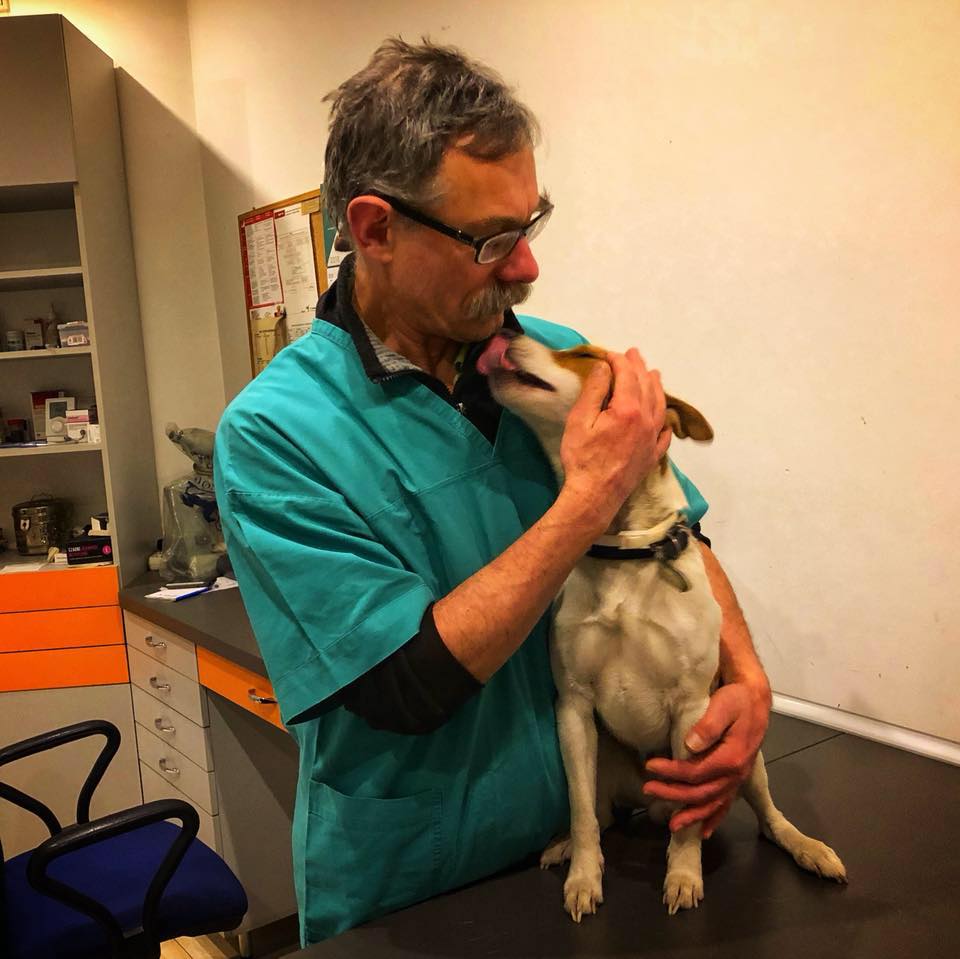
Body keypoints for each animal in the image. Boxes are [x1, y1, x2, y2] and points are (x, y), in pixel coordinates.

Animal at [478, 331, 846, 921]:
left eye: (585, 356)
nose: (503, 333)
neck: (624, 549)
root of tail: (644, 801)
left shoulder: (693, 709)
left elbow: (690, 819)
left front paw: (683, 874)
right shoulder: (574, 708)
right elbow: (582, 814)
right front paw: (584, 876)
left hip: (747, 758)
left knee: (767, 817)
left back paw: (807, 848)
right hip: (602, 759)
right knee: (602, 814)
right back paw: (564, 847)